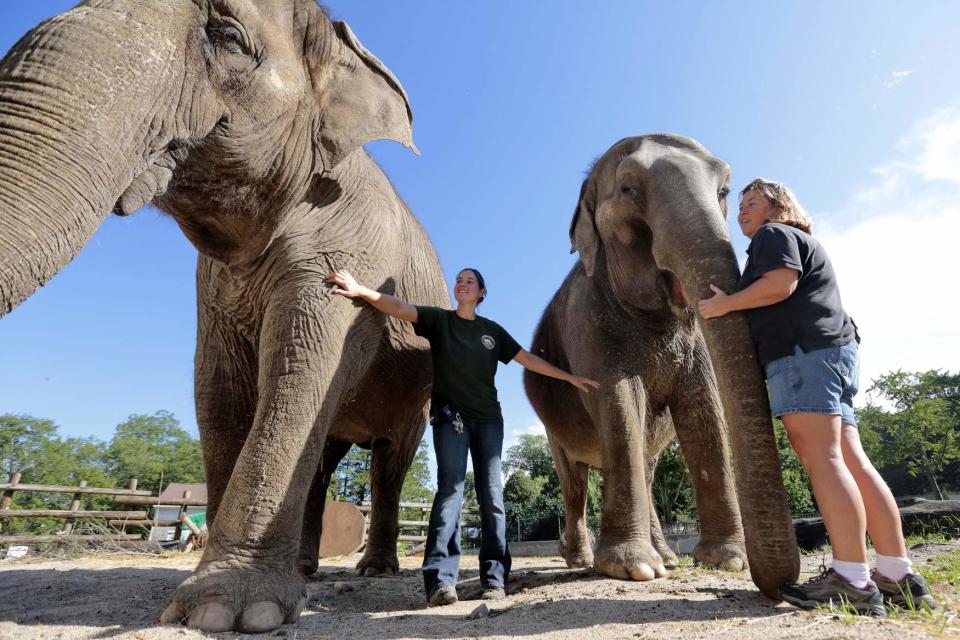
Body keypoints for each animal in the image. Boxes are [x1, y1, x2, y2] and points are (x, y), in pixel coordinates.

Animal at [0, 0, 450, 632]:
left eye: (230, 37)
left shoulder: (350, 247)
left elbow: (295, 375)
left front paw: (230, 612)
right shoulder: (212, 287)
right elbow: (217, 389)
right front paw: (220, 602)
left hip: (415, 397)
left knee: (389, 461)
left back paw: (374, 571)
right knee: (325, 460)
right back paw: (309, 570)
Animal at [520, 134, 800, 600]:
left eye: (725, 190)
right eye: (628, 188)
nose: (783, 589)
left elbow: (703, 407)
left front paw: (727, 560)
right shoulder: (585, 322)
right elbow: (618, 402)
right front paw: (630, 568)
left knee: (647, 467)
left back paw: (665, 556)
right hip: (550, 429)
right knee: (574, 480)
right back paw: (580, 559)